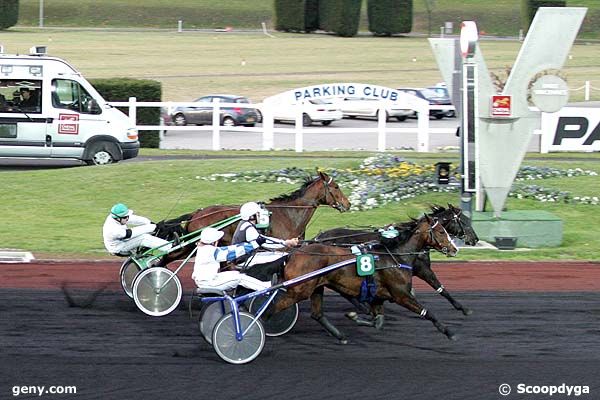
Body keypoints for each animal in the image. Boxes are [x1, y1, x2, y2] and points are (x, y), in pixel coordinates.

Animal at [155, 172, 350, 266]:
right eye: (336, 186)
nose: (347, 204)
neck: (289, 214)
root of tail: (196, 213)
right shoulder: (278, 248)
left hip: (191, 247)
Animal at [268, 216, 460, 344]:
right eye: (441, 231)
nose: (455, 249)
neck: (396, 257)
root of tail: (293, 254)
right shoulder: (401, 295)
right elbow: (427, 312)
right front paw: (449, 332)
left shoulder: (378, 297)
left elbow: (378, 322)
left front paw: (355, 316)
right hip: (299, 290)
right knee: (273, 308)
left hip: (316, 287)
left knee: (317, 314)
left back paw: (340, 336)